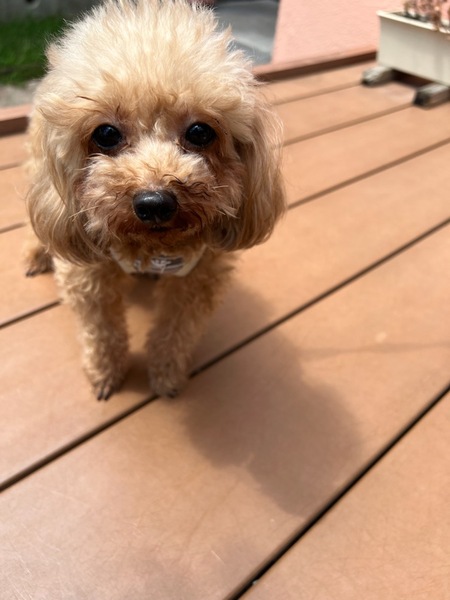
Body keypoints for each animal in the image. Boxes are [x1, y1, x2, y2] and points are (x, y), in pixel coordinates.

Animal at [24, 0, 286, 400]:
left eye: (200, 132)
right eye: (105, 134)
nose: (155, 203)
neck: (151, 247)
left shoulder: (197, 277)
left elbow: (175, 331)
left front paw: (166, 376)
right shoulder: (88, 274)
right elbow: (101, 330)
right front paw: (105, 373)